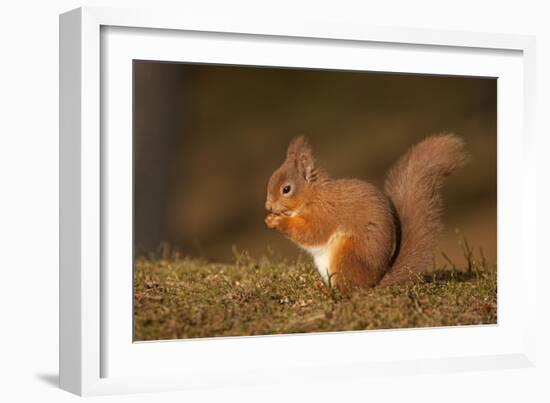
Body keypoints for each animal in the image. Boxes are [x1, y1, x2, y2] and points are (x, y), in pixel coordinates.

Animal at [266, 134, 468, 292]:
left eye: (286, 189)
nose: (268, 206)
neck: (313, 195)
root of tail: (374, 282)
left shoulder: (325, 212)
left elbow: (312, 233)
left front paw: (278, 222)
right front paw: (270, 218)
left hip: (347, 253)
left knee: (350, 289)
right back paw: (323, 286)